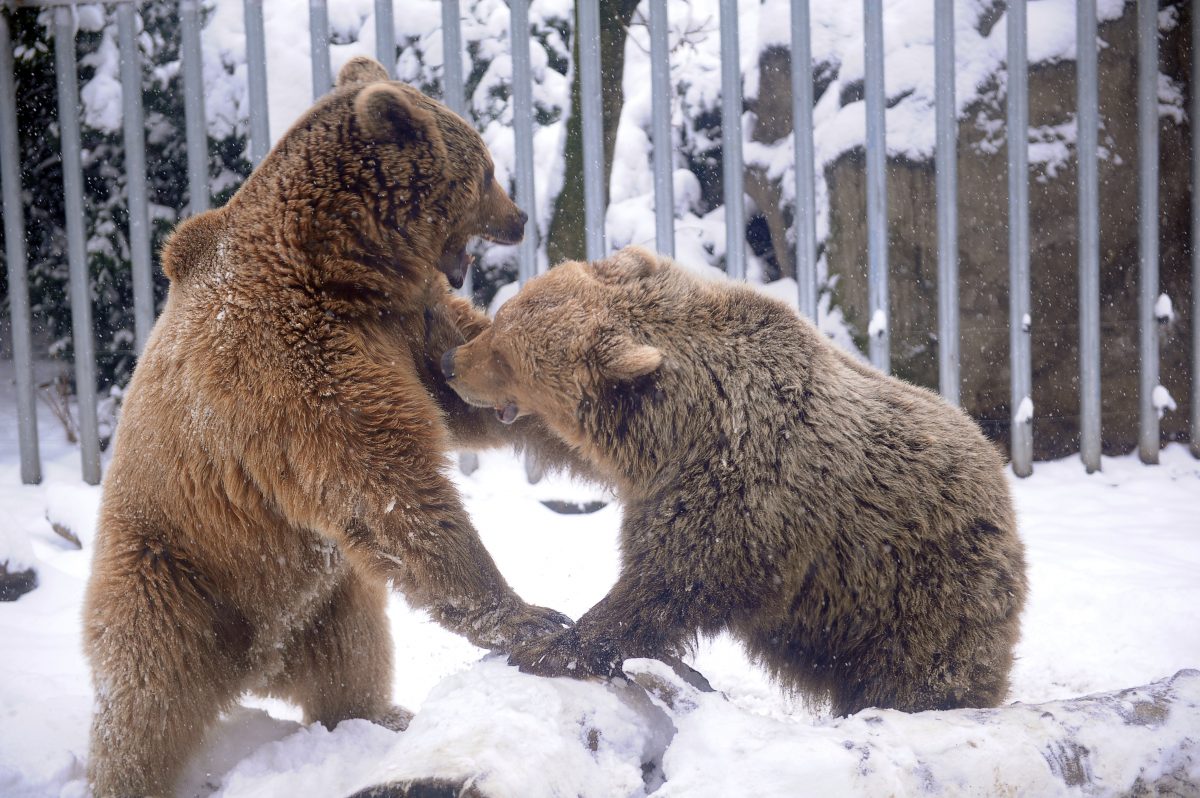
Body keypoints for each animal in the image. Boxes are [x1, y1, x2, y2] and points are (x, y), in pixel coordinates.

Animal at [83, 57, 580, 796]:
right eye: (487, 169)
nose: (520, 217)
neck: (342, 267)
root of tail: (255, 666)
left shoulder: (399, 330)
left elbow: (461, 389)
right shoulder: (291, 371)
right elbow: (392, 490)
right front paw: (533, 616)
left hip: (326, 594)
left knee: (354, 650)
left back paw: (381, 715)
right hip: (171, 570)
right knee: (144, 695)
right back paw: (130, 771)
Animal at [444, 247, 1032, 715]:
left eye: (504, 354)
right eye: (500, 318)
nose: (452, 362)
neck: (683, 425)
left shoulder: (742, 493)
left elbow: (671, 582)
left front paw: (553, 646)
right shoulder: (649, 466)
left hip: (916, 590)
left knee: (918, 675)